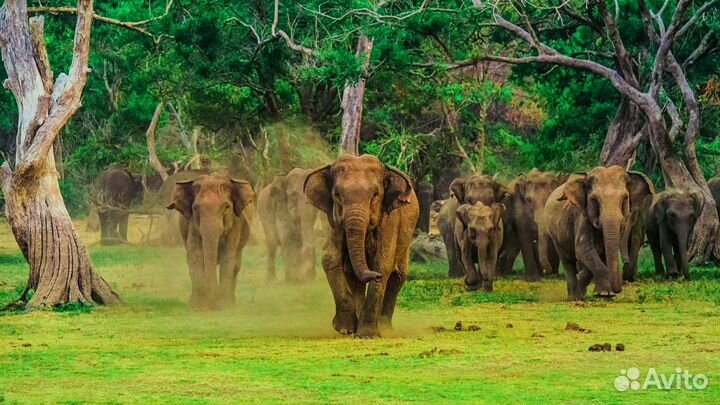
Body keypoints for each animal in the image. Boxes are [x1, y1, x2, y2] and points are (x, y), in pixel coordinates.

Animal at [165, 172, 255, 308]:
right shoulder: (193, 225)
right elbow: (195, 254)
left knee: (236, 264)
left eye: (226, 207)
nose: (211, 303)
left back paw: (232, 303)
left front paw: (222, 306)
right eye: (195, 207)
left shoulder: (236, 223)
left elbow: (228, 255)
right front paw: (198, 306)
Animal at [302, 153, 420, 336]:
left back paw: (384, 327)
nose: (374, 276)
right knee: (353, 277)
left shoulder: (389, 221)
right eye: (337, 194)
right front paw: (344, 329)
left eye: (375, 194)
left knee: (398, 276)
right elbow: (330, 258)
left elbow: (383, 264)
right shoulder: (335, 222)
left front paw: (367, 335)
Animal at [544, 165, 652, 300]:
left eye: (625, 198)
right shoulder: (582, 215)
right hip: (555, 234)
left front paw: (604, 294)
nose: (619, 288)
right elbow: (583, 249)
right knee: (567, 260)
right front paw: (605, 293)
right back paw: (575, 297)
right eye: (594, 199)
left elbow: (600, 251)